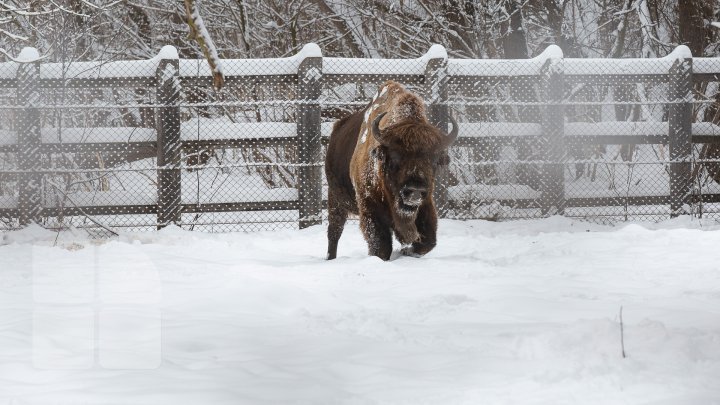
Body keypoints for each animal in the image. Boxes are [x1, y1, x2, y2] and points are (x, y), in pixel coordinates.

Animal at [324, 80, 456, 260]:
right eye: (394, 155)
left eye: (434, 159)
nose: (415, 190)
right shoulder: (370, 208)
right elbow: (381, 246)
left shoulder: (426, 205)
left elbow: (427, 242)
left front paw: (406, 251)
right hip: (336, 200)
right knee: (334, 231)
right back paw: (330, 257)